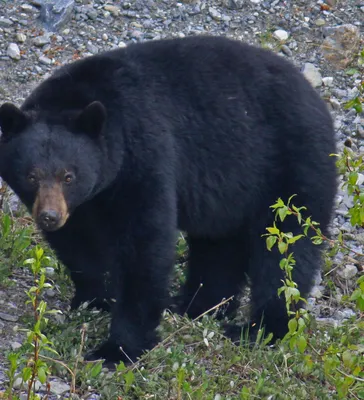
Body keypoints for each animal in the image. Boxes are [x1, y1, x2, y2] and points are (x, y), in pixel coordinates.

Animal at [0, 35, 336, 366]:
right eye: (31, 176)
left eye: (68, 175)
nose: (50, 216)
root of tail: (317, 99)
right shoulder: (83, 206)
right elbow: (78, 245)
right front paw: (94, 299)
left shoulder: (144, 155)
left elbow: (144, 245)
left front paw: (117, 348)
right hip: (230, 192)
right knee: (218, 247)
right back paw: (197, 305)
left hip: (290, 165)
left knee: (286, 252)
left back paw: (260, 329)